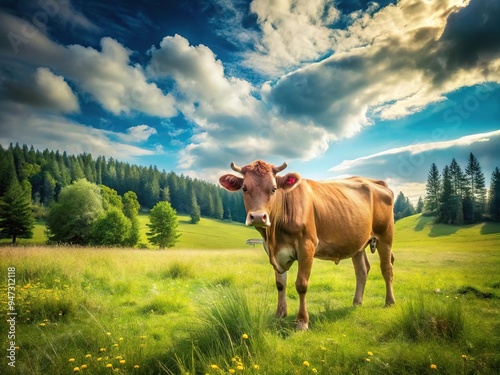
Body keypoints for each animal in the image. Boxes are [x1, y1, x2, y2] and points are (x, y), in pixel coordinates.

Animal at [219, 160, 394, 330]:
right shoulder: (274, 253)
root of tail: (375, 181)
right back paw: (357, 302)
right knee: (362, 271)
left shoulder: (307, 247)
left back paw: (389, 302)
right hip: (357, 242)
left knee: (387, 268)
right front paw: (280, 315)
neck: (274, 237)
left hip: (385, 236)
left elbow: (301, 285)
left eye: (274, 189)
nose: (257, 217)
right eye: (244, 188)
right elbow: (280, 284)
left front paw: (302, 322)